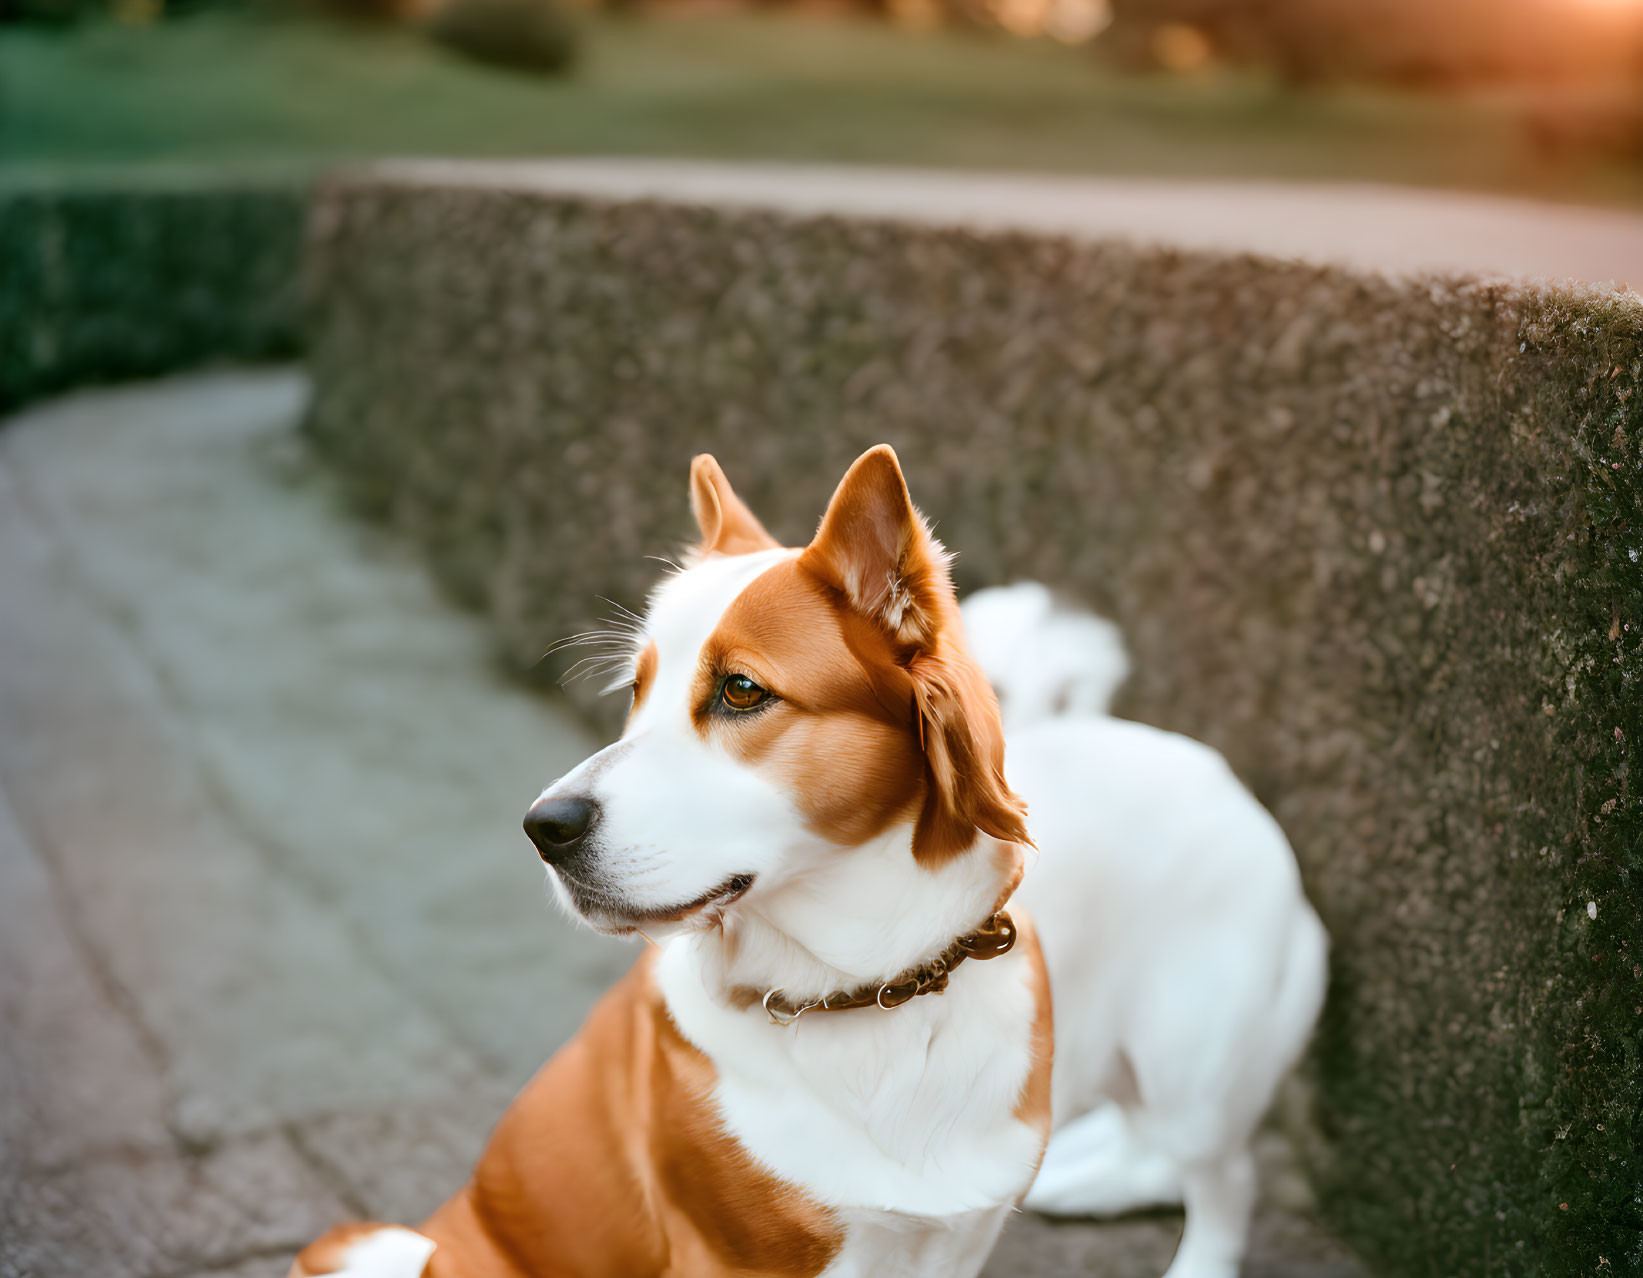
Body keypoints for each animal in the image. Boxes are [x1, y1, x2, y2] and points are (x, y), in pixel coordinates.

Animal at [292, 446, 1320, 1274]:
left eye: (742, 690)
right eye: (635, 693)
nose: (545, 825)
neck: (871, 989)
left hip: (1194, 1054)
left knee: (1220, 1179)